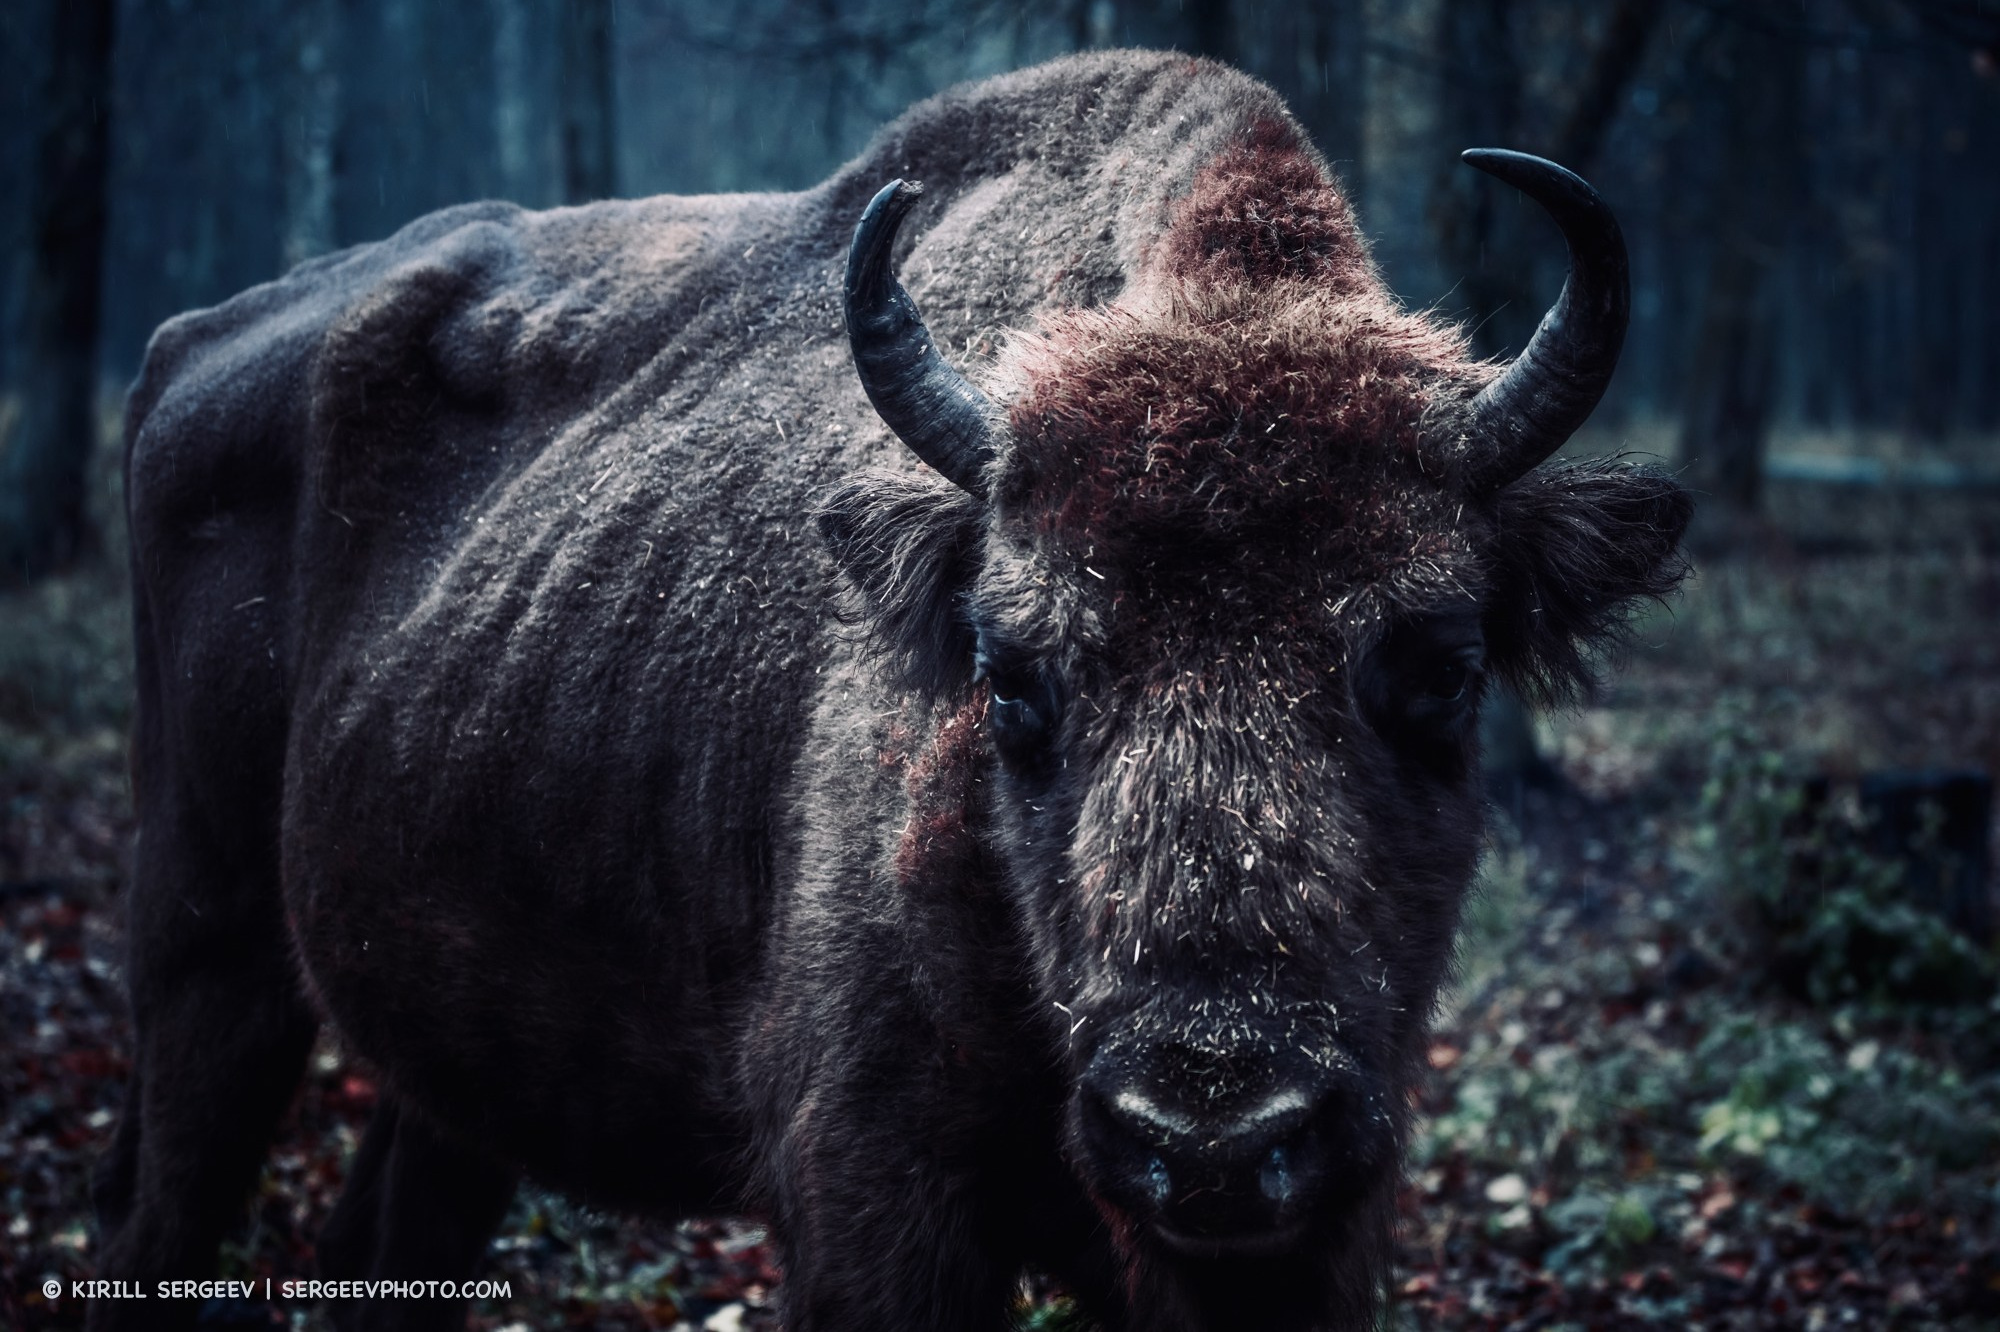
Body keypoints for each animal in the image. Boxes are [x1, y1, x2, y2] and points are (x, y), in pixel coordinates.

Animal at [94, 51, 1689, 1332]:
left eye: (1443, 669)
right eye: (1009, 677)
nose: (1215, 1135)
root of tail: (187, 349)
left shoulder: (1317, 1230)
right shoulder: (873, 1200)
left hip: (448, 1062)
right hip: (206, 949)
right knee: (157, 1208)